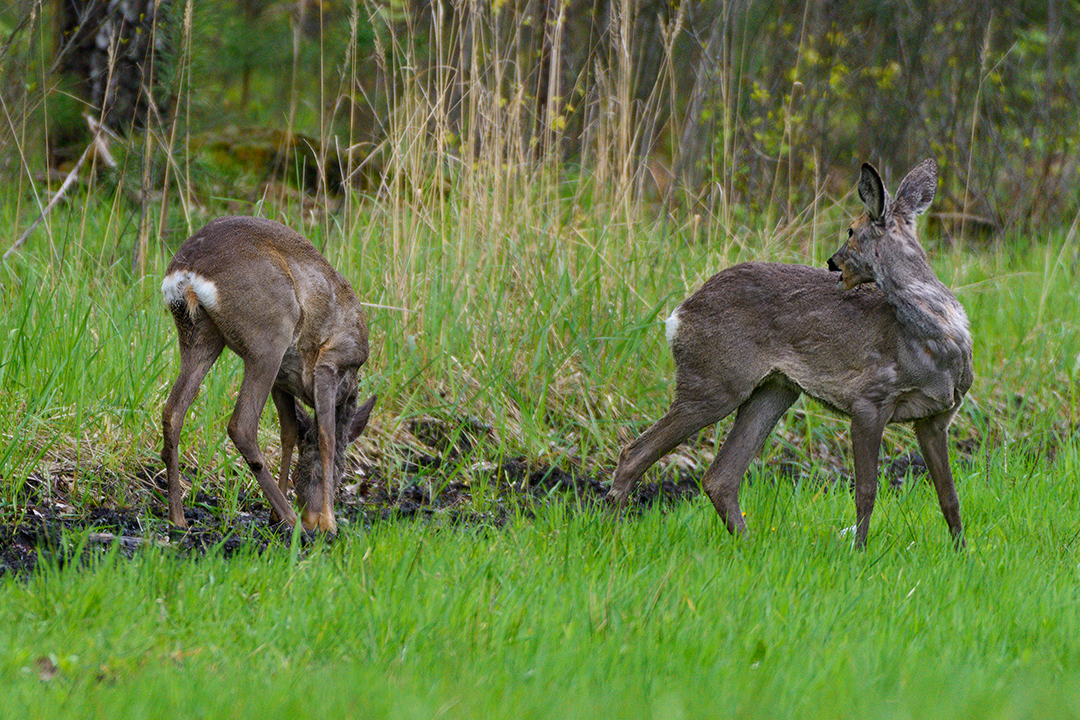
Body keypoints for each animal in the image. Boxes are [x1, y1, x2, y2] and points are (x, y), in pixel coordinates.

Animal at [157, 216, 378, 533]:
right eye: (340, 472)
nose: (311, 515)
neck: (350, 386)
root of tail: (187, 271)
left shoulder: (283, 382)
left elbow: (289, 433)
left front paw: (277, 514)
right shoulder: (330, 362)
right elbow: (328, 438)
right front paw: (329, 522)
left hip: (199, 334)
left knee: (173, 412)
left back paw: (178, 518)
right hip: (269, 336)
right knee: (242, 425)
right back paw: (291, 519)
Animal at [609, 160, 972, 548]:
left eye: (851, 230)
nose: (832, 262)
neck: (936, 343)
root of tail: (678, 315)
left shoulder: (937, 417)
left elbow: (949, 495)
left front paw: (960, 551)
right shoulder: (869, 399)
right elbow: (867, 491)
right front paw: (858, 551)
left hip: (775, 389)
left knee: (720, 476)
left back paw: (748, 544)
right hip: (714, 380)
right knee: (634, 453)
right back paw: (613, 533)